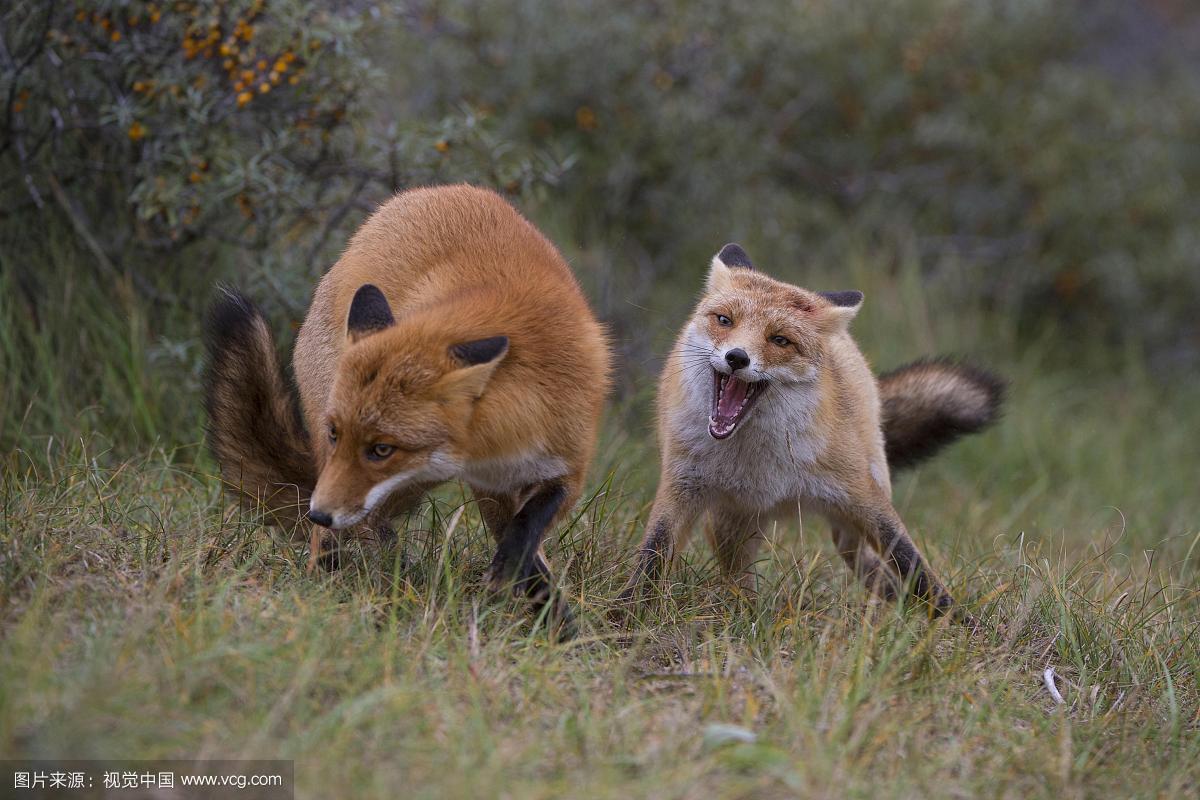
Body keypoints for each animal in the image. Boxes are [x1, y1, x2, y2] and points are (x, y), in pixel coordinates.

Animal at [204, 183, 609, 638]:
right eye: (336, 432)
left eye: (382, 448)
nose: (319, 513)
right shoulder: (490, 486)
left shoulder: (564, 468)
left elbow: (527, 535)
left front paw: (556, 626)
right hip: (363, 480)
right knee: (338, 536)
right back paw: (328, 587)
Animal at [619, 244, 1003, 623]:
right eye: (724, 320)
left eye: (780, 340)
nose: (737, 357)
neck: (758, 462)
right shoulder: (681, 484)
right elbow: (652, 556)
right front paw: (623, 615)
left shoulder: (861, 494)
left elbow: (915, 567)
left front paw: (964, 626)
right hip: (731, 528)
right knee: (740, 580)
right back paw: (748, 615)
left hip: (853, 512)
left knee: (868, 564)